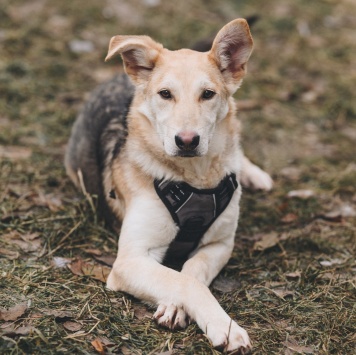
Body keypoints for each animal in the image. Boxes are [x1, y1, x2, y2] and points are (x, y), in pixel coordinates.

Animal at [65, 18, 272, 354]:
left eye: (208, 94)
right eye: (165, 94)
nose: (187, 141)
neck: (194, 177)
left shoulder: (220, 244)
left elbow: (192, 273)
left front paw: (186, 309)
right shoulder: (130, 260)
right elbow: (183, 281)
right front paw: (221, 325)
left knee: (237, 148)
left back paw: (253, 174)